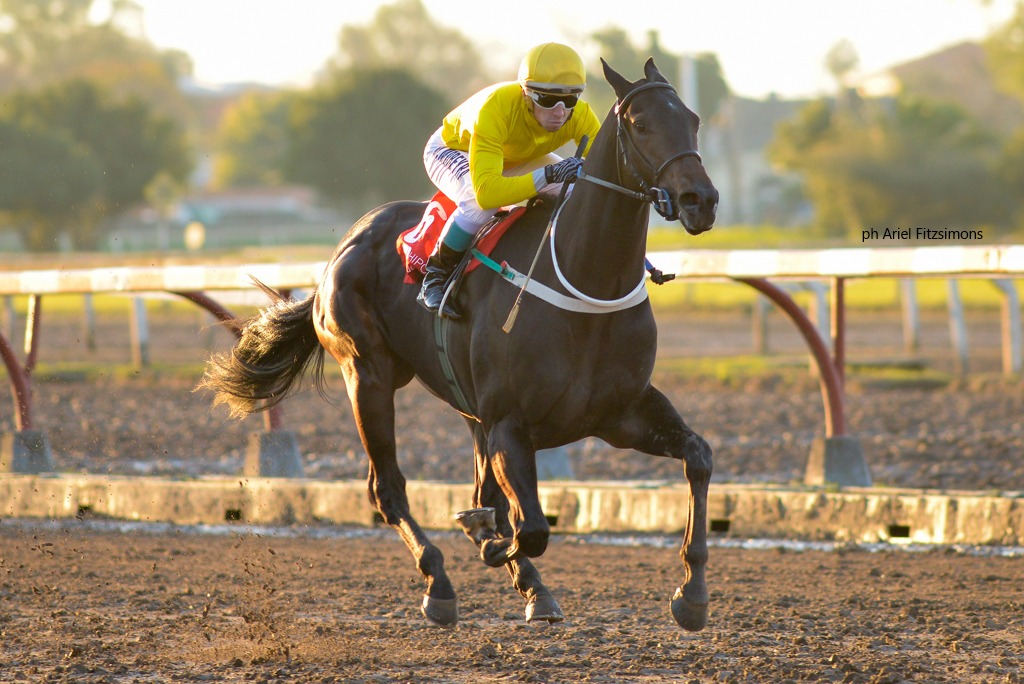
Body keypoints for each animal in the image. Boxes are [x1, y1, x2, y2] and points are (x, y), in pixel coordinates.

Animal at [200, 57, 719, 631]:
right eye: (641, 124)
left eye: (693, 120)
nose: (701, 200)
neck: (585, 279)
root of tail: (345, 247)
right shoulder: (510, 422)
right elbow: (530, 529)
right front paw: (488, 541)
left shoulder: (620, 412)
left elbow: (698, 456)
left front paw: (692, 593)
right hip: (368, 375)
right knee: (388, 489)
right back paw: (441, 582)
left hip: (467, 408)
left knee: (477, 492)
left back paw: (522, 579)